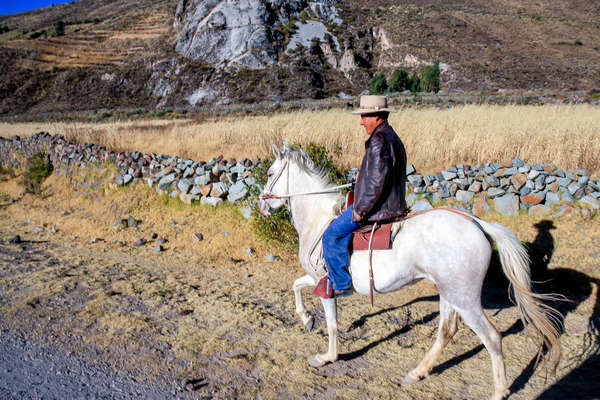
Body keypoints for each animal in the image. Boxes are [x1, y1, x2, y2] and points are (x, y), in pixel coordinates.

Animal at [258, 144, 564, 400]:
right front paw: (306, 319)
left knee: (491, 338)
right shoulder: (314, 278)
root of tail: (477, 223)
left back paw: (499, 391)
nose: (263, 205)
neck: (319, 219)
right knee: (446, 331)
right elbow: (296, 286)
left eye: (271, 172)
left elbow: (331, 323)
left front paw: (327, 356)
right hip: (449, 294)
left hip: (465, 299)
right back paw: (418, 372)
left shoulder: (324, 282)